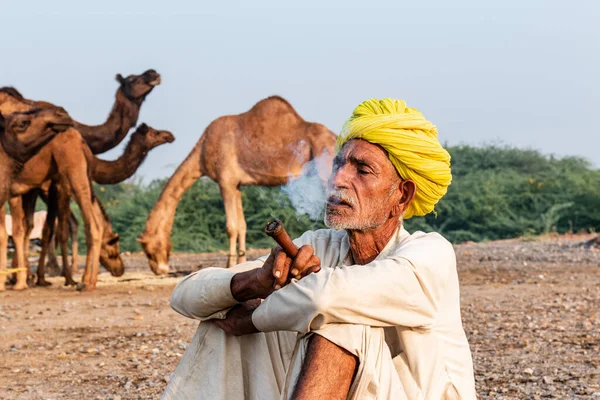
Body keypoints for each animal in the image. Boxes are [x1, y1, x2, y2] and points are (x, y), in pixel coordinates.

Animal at [139, 95, 338, 274]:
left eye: (148, 249)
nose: (159, 269)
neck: (202, 151)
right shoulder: (236, 184)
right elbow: (241, 224)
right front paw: (241, 261)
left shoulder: (225, 180)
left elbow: (230, 226)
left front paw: (229, 264)